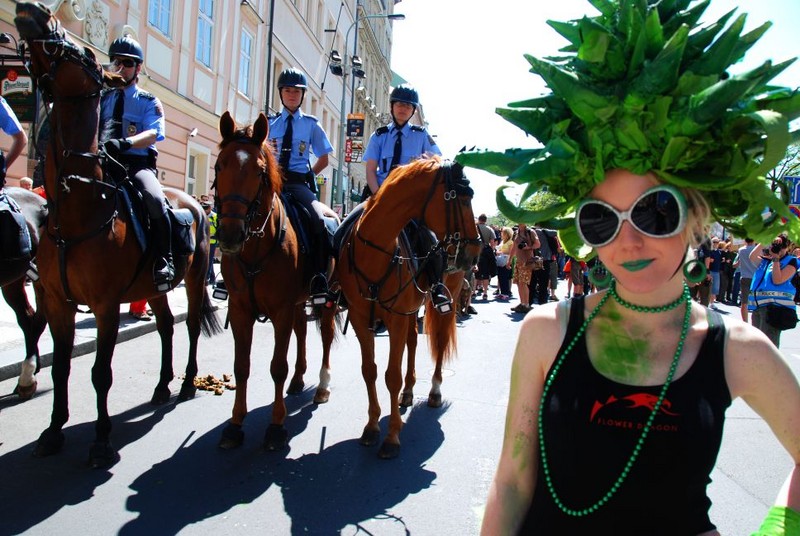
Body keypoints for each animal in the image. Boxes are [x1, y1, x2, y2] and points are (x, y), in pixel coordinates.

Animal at [16, 2, 222, 466]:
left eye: (85, 56)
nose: (33, 11)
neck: (78, 207)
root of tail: (194, 203)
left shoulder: (106, 306)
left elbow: (100, 373)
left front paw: (101, 439)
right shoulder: (58, 303)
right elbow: (62, 367)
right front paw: (53, 431)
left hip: (196, 280)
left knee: (188, 328)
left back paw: (185, 383)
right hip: (157, 287)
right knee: (165, 327)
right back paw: (162, 385)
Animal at [214, 111, 340, 450]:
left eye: (259, 171)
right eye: (219, 166)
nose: (229, 235)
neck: (257, 247)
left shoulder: (280, 311)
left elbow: (277, 367)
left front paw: (275, 426)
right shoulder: (241, 311)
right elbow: (241, 367)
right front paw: (235, 424)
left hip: (327, 299)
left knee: (325, 336)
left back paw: (322, 386)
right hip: (298, 302)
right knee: (302, 333)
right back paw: (299, 380)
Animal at [332, 157, 478, 458]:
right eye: (464, 198)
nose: (475, 251)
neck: (375, 251)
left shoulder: (395, 319)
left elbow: (391, 376)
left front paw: (392, 437)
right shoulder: (361, 319)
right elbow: (370, 371)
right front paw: (372, 426)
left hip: (445, 299)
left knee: (440, 342)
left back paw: (434, 391)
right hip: (410, 310)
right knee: (412, 340)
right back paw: (410, 391)